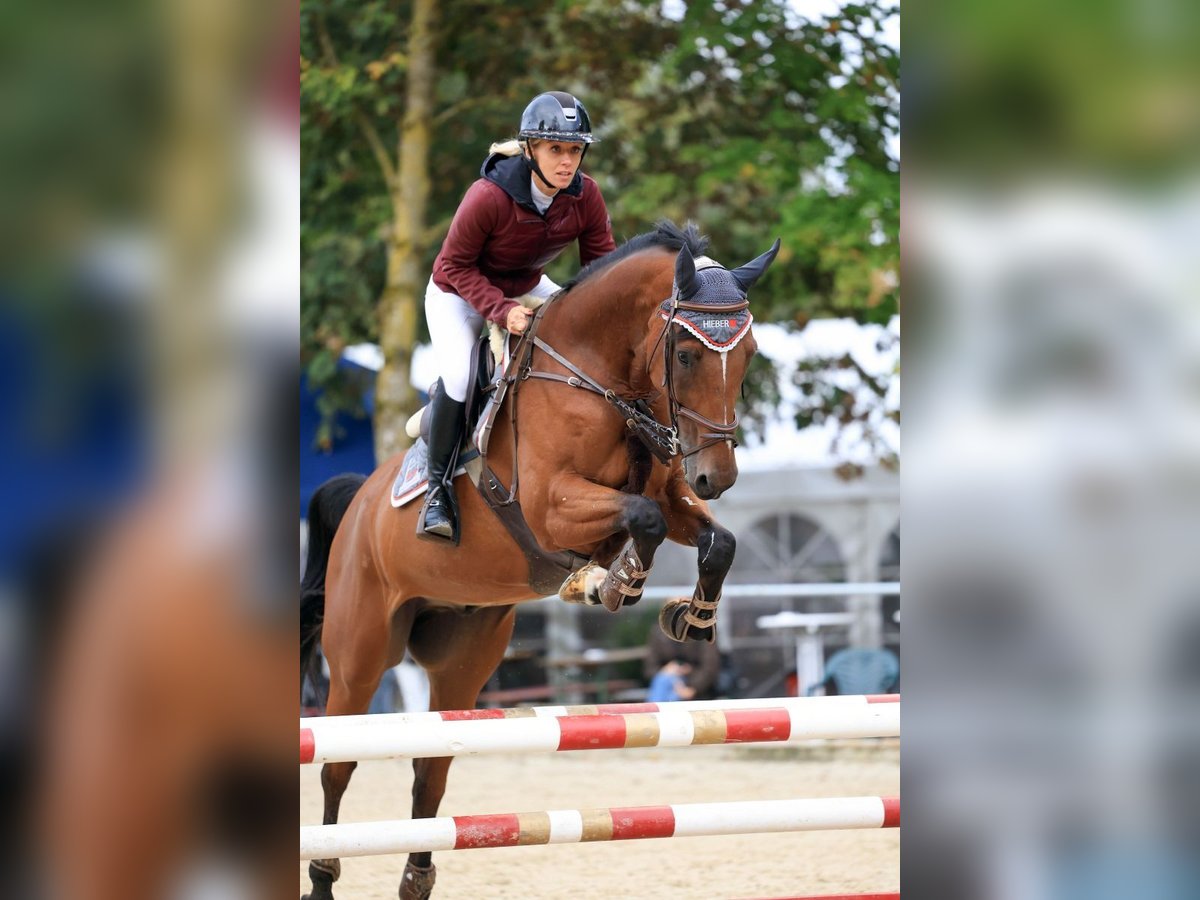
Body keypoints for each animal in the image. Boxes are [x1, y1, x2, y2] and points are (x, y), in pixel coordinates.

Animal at [302, 220, 777, 900]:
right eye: (686, 354)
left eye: (750, 353)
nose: (717, 476)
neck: (602, 380)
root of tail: (358, 500)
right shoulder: (552, 506)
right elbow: (643, 519)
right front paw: (610, 582)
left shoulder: (669, 492)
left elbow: (716, 540)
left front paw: (689, 618)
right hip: (359, 654)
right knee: (337, 765)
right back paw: (323, 878)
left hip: (463, 661)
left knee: (430, 768)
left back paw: (418, 877)